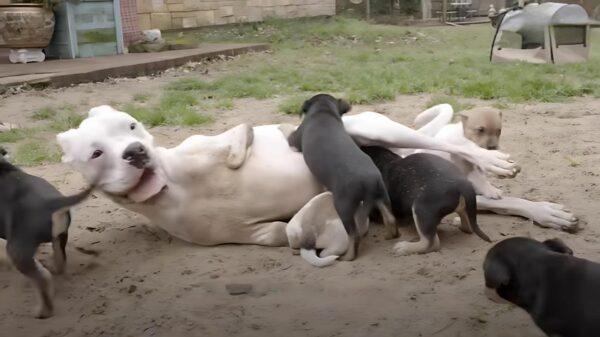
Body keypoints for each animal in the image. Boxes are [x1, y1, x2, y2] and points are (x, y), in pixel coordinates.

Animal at [0, 152, 98, 318]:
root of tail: (52, 202)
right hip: (60, 237)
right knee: (60, 262)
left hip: (16, 249)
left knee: (43, 278)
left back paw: (44, 311)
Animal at [57, 105, 524, 244]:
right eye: (96, 152)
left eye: (132, 126)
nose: (136, 152)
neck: (174, 190)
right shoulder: (251, 234)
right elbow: (283, 232)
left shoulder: (214, 141)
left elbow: (237, 138)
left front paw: (236, 154)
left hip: (376, 128)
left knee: (453, 145)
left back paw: (494, 162)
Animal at [288, 94, 396, 260]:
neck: (323, 111)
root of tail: (368, 182)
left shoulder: (295, 138)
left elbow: (290, 136)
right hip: (381, 194)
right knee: (390, 217)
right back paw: (391, 235)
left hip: (343, 206)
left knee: (354, 235)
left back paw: (348, 257)